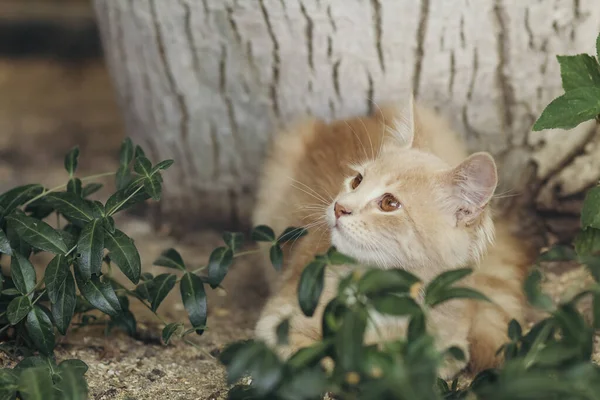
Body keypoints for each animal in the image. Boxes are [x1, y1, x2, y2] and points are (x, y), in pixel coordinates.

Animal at [251, 97, 536, 378]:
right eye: (357, 181)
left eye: (389, 203)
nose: (339, 207)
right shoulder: (279, 322)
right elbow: (321, 361)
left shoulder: (450, 351)